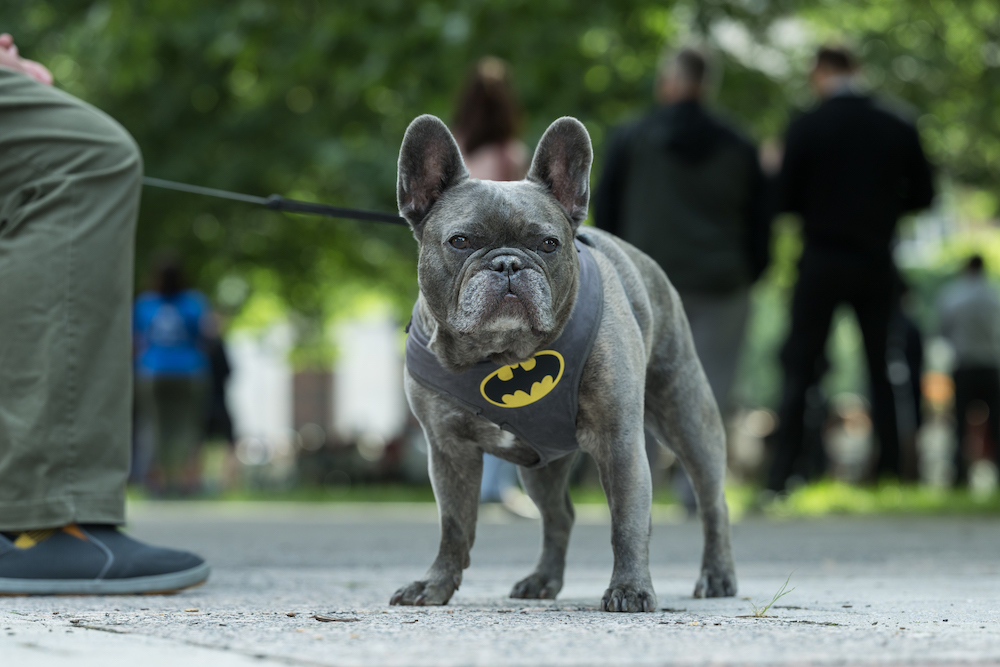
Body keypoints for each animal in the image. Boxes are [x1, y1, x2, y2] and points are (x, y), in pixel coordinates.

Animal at [390, 113, 736, 612]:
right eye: (460, 241)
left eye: (549, 244)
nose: (509, 264)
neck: (503, 352)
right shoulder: (447, 450)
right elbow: (454, 525)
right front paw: (435, 585)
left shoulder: (620, 442)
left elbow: (628, 521)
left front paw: (630, 588)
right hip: (538, 466)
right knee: (559, 516)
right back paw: (542, 580)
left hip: (688, 418)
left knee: (712, 501)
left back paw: (718, 576)